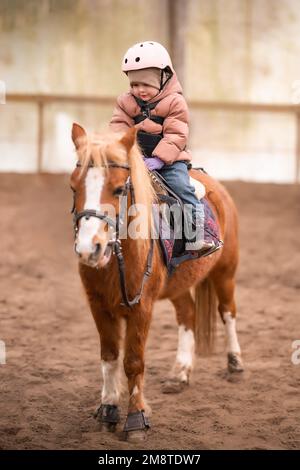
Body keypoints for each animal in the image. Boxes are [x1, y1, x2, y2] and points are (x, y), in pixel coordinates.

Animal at [71, 123, 244, 438]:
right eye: (73, 187)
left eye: (118, 189)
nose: (89, 249)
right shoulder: (98, 306)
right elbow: (109, 357)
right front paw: (108, 411)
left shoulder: (142, 307)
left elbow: (133, 362)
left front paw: (136, 420)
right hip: (179, 286)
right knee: (188, 314)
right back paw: (180, 374)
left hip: (225, 272)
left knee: (228, 313)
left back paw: (235, 365)